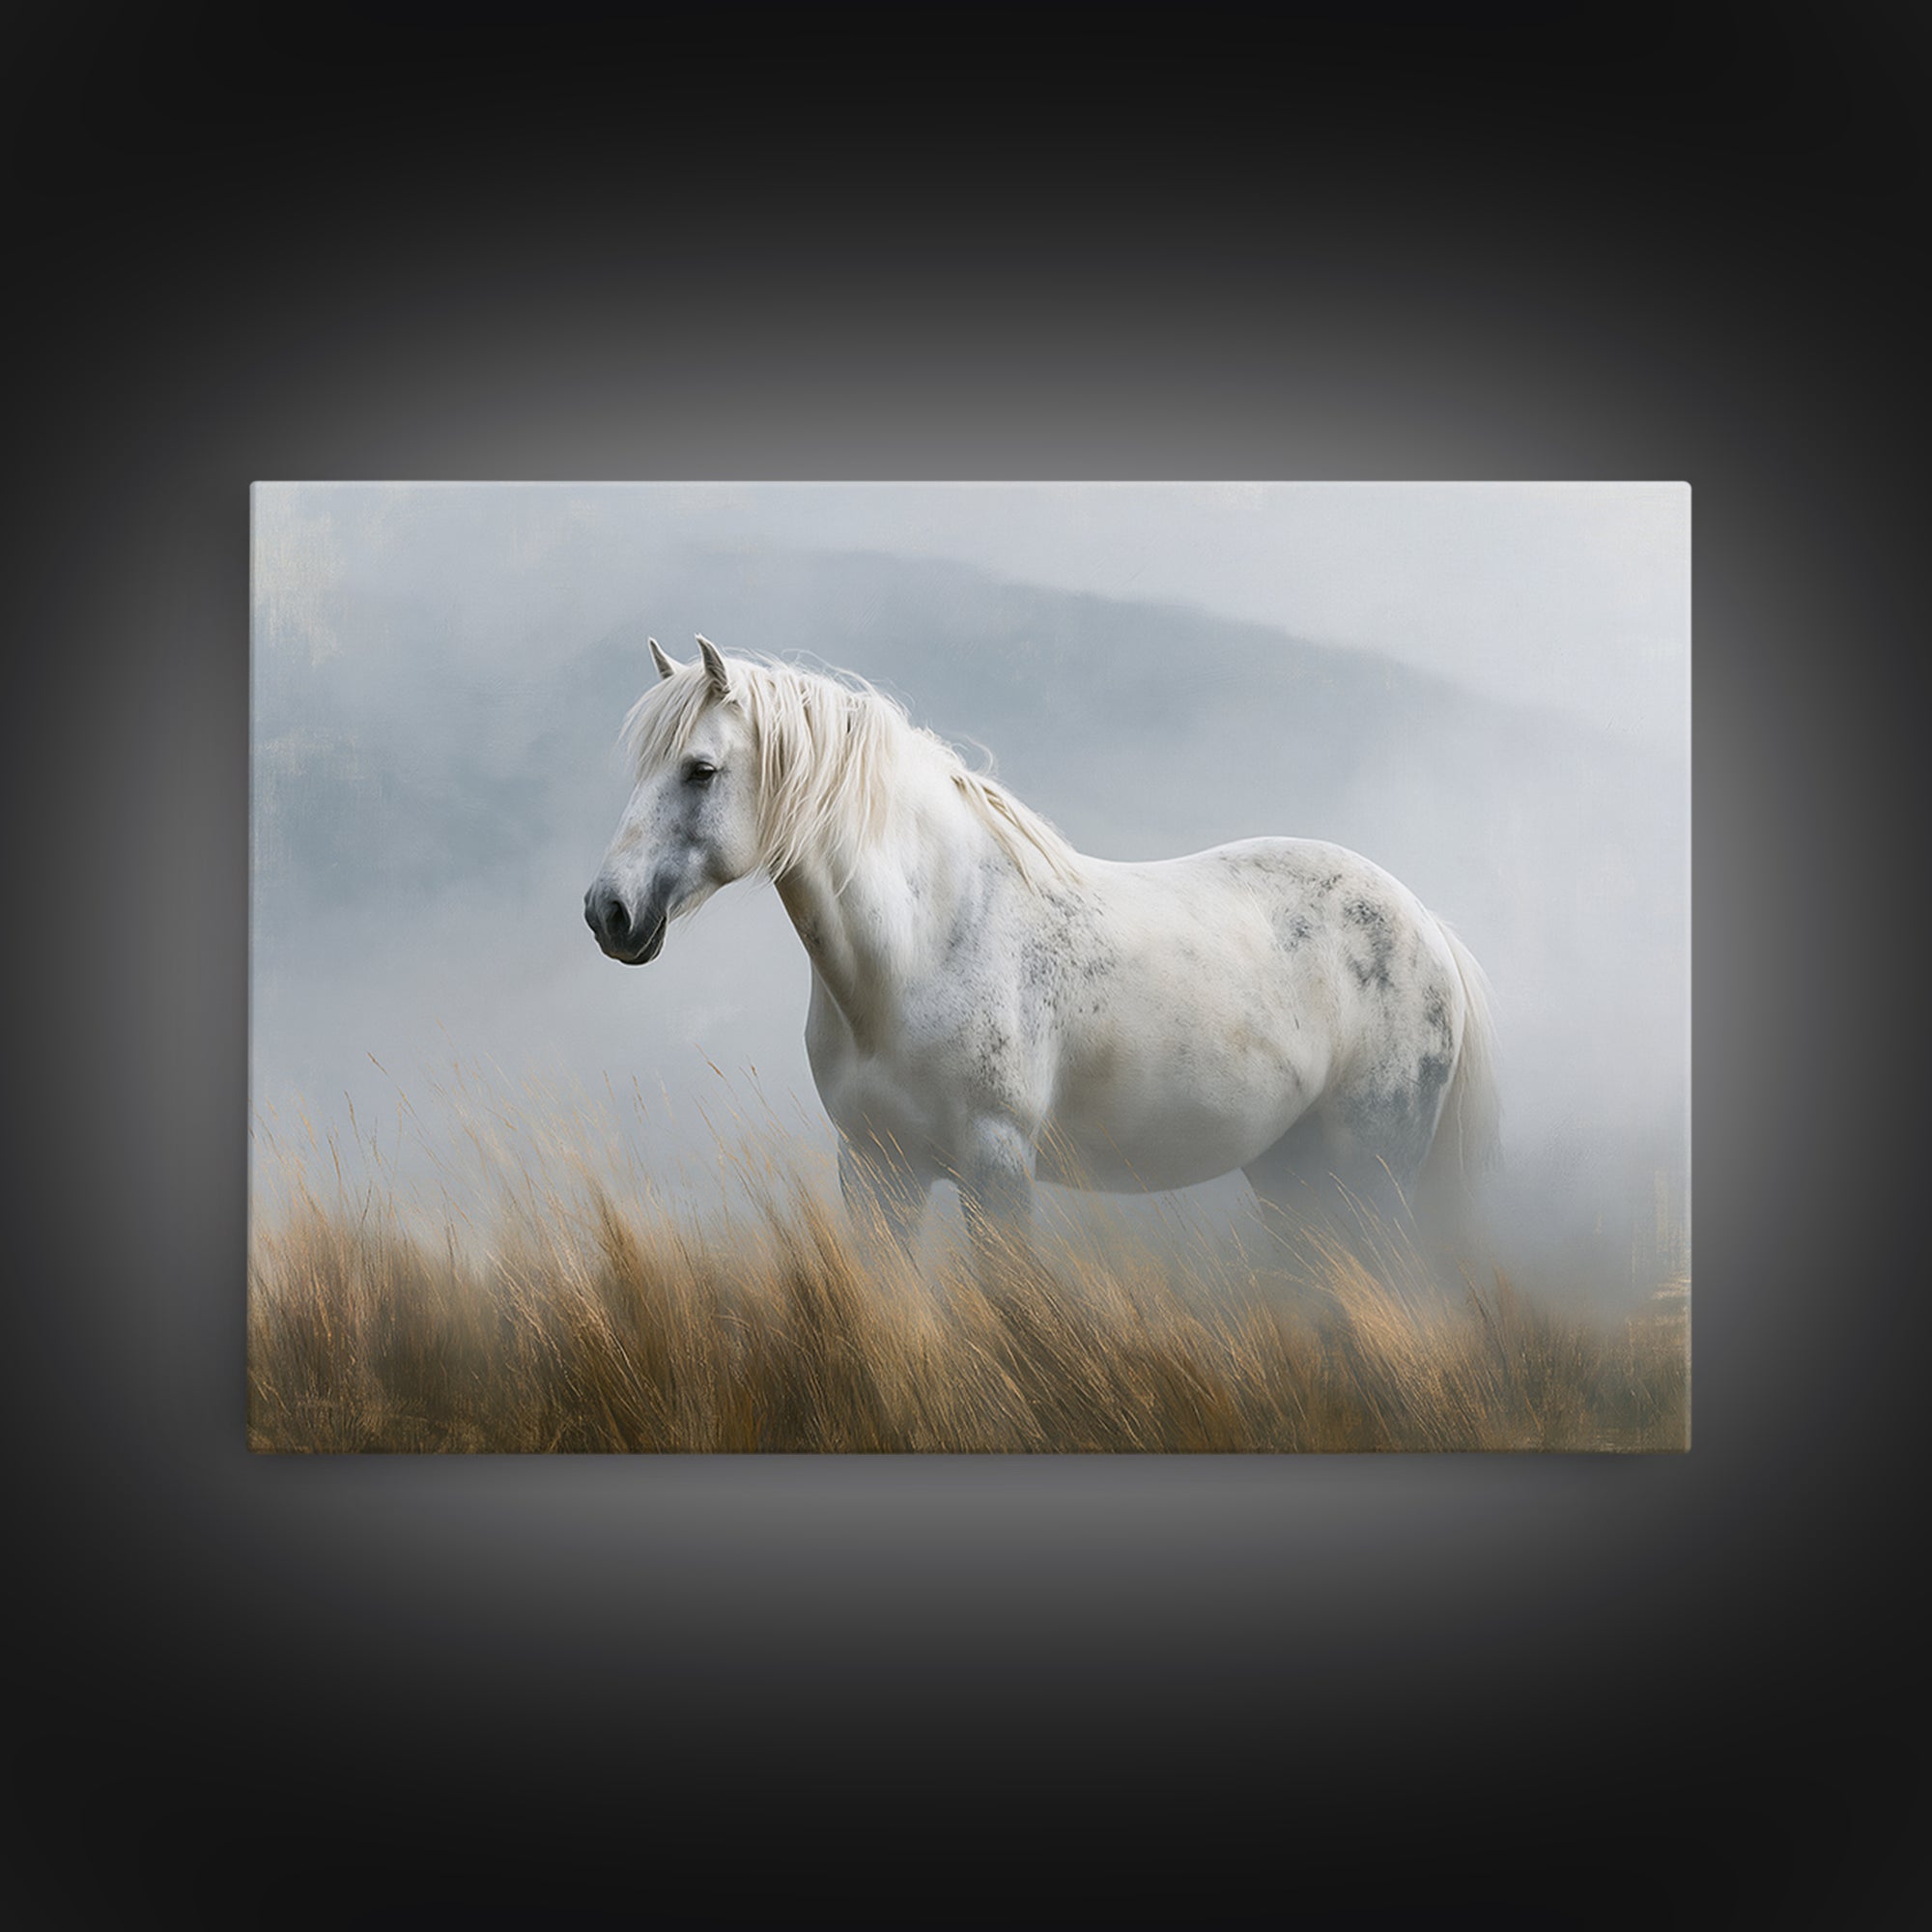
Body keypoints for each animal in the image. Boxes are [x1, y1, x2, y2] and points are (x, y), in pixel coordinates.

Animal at [584, 635, 1501, 1283]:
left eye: (701, 770)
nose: (608, 913)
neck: (924, 947)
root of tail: (1426, 924)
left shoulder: (997, 1169)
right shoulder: (876, 1171)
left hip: (1368, 1182)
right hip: (1292, 1179)